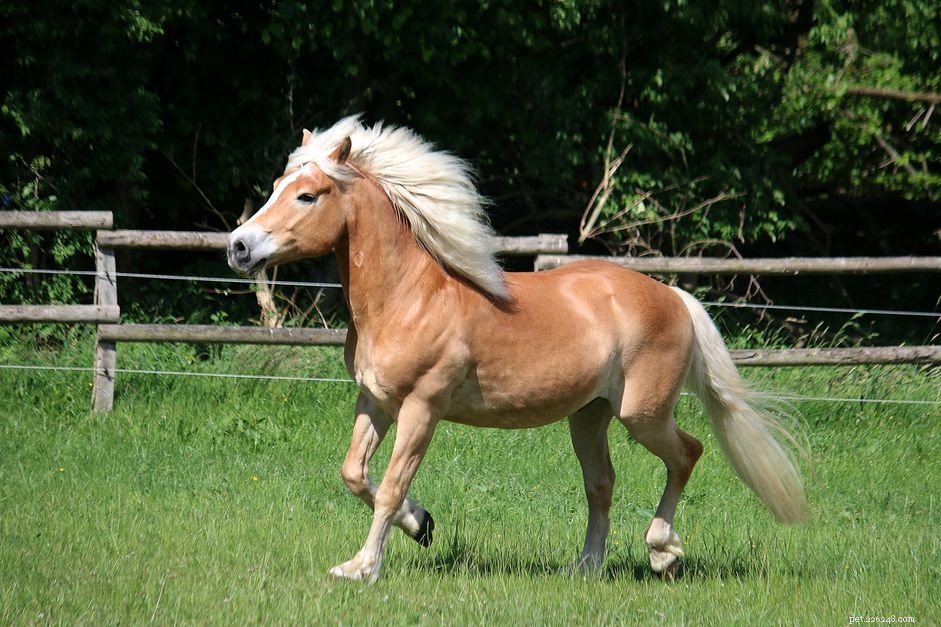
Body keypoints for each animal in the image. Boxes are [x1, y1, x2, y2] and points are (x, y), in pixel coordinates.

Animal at [227, 116, 806, 582]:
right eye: (276, 186)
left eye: (307, 195)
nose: (238, 247)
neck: (410, 297)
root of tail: (674, 296)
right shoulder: (376, 401)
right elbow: (354, 473)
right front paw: (422, 524)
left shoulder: (421, 407)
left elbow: (389, 484)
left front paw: (362, 568)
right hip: (589, 416)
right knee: (601, 484)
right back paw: (585, 568)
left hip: (642, 414)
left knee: (688, 453)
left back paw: (663, 552)